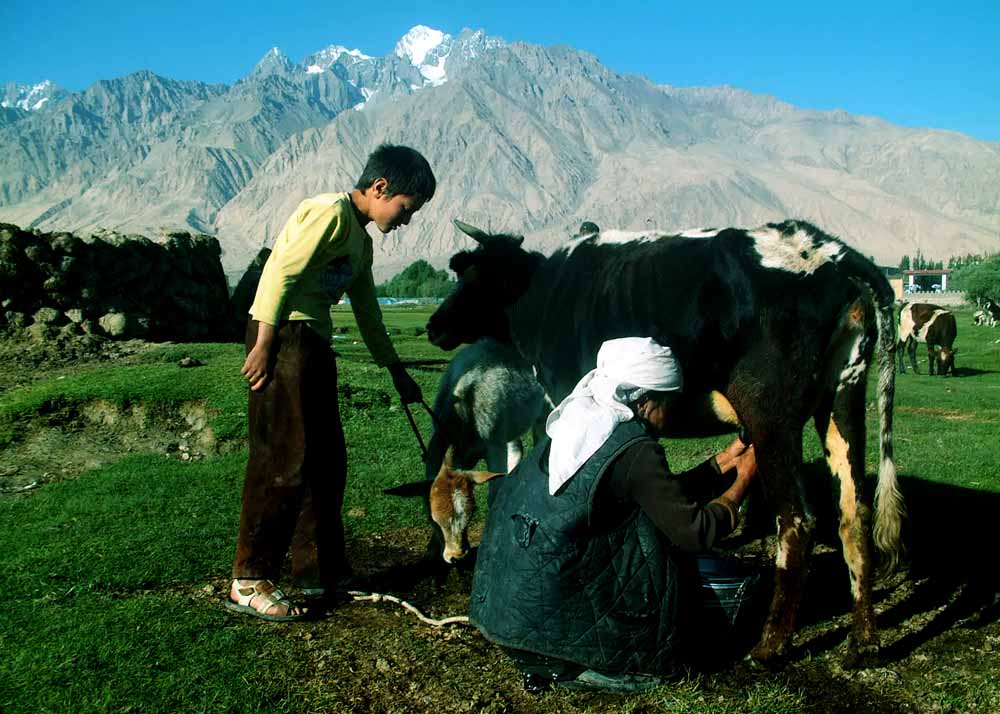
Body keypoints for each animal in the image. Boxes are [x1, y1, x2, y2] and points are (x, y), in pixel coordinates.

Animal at [424, 218, 908, 668]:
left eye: (471, 277)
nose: (433, 325)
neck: (544, 294)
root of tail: (832, 253)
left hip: (771, 414)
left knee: (798, 522)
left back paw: (769, 648)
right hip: (843, 397)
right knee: (854, 513)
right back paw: (864, 642)